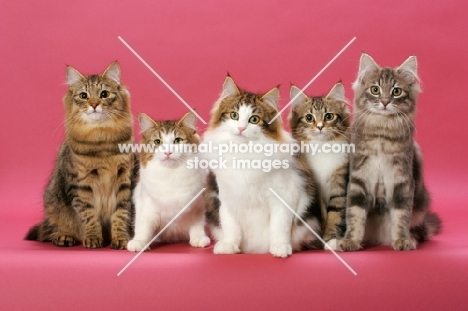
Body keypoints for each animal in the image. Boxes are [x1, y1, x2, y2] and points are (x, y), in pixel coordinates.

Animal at [24, 62, 136, 250]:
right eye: (84, 96)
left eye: (104, 94)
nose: (94, 104)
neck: (101, 141)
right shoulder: (80, 186)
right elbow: (89, 216)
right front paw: (92, 238)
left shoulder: (125, 182)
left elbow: (121, 214)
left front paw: (121, 238)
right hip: (53, 203)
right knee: (52, 229)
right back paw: (63, 237)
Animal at [126, 112, 210, 254]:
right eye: (157, 142)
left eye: (177, 140)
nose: (168, 152)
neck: (171, 174)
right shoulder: (145, 207)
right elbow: (142, 227)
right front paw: (139, 242)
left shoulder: (197, 205)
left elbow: (197, 225)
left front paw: (198, 238)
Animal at [203, 75, 324, 258]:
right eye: (234, 115)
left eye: (254, 119)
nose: (241, 128)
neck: (244, 154)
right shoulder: (226, 198)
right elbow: (230, 227)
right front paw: (229, 246)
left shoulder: (283, 197)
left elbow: (279, 227)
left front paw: (280, 247)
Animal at [288, 83, 352, 251]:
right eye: (309, 118)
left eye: (328, 116)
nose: (320, 126)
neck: (322, 147)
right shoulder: (315, 188)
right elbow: (323, 215)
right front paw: (319, 240)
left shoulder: (340, 184)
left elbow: (334, 214)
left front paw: (331, 240)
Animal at [338, 54, 440, 254]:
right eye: (375, 89)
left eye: (396, 91)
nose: (385, 102)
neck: (381, 131)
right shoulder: (359, 178)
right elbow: (355, 215)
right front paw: (350, 241)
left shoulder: (402, 180)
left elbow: (401, 216)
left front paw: (402, 240)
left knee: (418, 229)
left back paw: (411, 238)